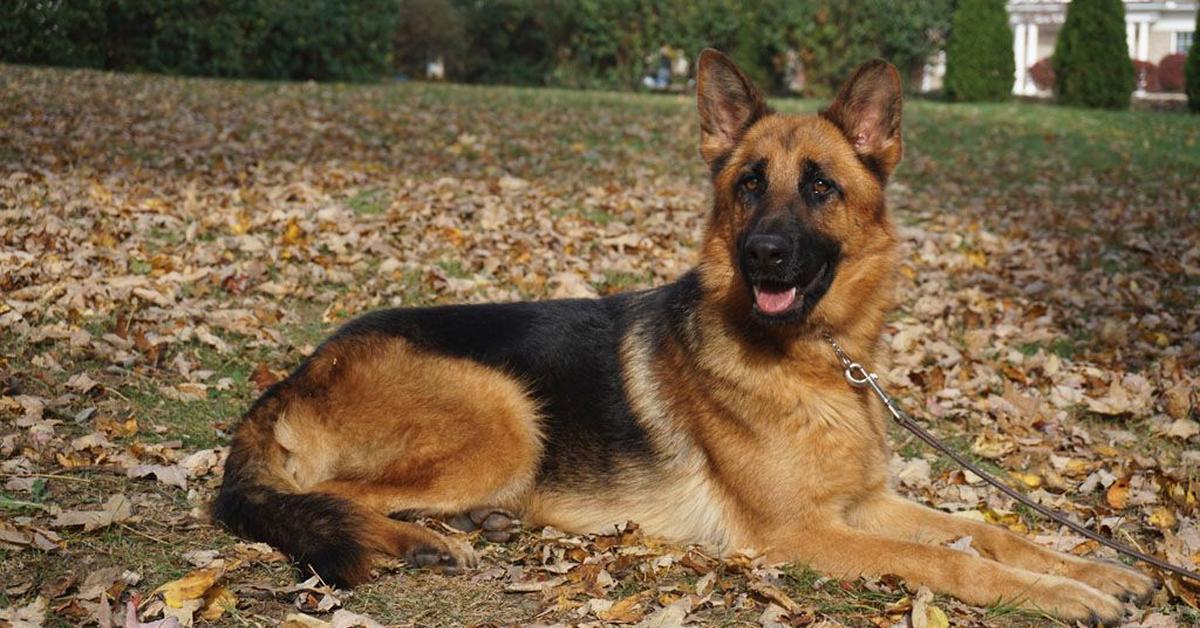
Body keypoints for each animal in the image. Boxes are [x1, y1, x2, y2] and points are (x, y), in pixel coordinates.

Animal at [216, 50, 1152, 624]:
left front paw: (1095, 570)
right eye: (748, 185)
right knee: (336, 496)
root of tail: (295, 376)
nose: (763, 254)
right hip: (504, 412)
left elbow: (991, 532)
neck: (816, 363)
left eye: (819, 186)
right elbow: (957, 561)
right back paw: (421, 542)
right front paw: (1062, 595)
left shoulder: (868, 505)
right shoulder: (802, 535)